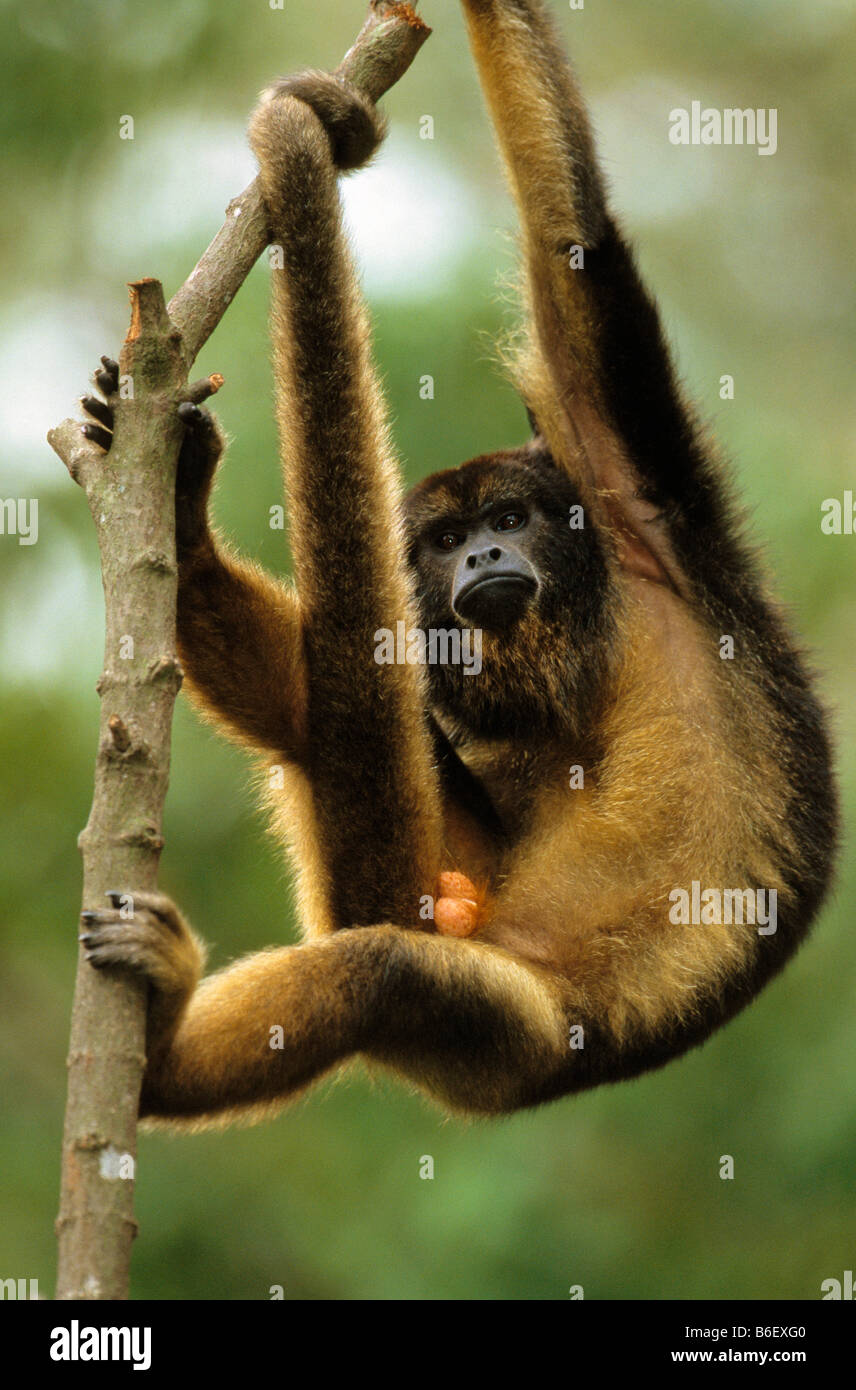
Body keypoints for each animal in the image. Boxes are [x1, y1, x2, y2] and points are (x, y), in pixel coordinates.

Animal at [78, 0, 836, 1126]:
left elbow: (573, 242)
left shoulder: (644, 501)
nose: (482, 551)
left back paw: (164, 1053)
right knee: (316, 718)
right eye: (442, 541)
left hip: (506, 1035)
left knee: (382, 974)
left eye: (512, 517)